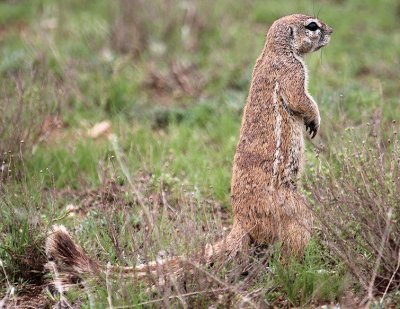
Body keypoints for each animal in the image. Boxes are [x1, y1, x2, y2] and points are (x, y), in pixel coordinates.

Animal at [44, 14, 332, 288]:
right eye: (312, 26)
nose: (331, 31)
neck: (276, 51)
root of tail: (241, 222)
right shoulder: (292, 74)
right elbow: (301, 100)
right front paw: (315, 120)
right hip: (295, 214)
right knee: (290, 250)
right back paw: (307, 270)